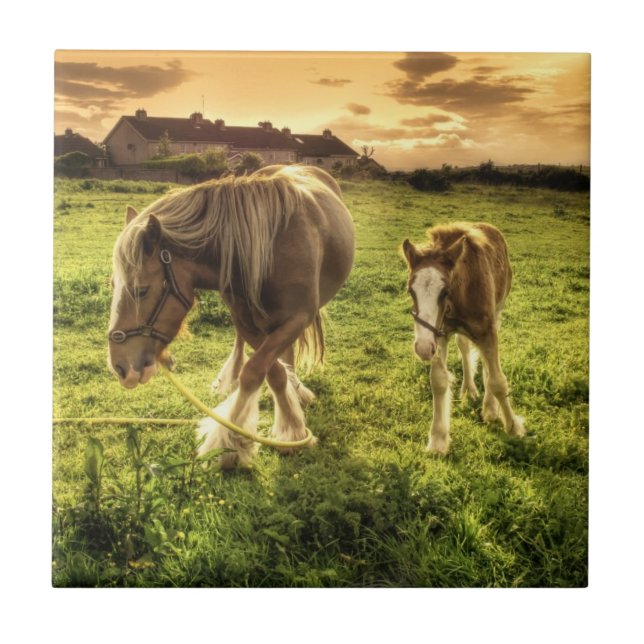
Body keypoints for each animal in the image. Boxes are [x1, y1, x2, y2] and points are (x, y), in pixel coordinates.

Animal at [108, 164, 355, 468]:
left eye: (141, 290)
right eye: (113, 284)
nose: (120, 366)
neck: (271, 246)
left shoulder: (298, 318)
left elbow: (257, 372)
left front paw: (232, 444)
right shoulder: (247, 323)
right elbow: (270, 373)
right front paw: (288, 427)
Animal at [401, 222, 525, 454]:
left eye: (445, 291)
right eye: (410, 291)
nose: (422, 348)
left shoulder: (487, 331)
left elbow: (497, 380)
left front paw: (513, 427)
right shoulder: (439, 333)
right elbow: (439, 380)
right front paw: (438, 439)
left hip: (498, 312)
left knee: (487, 363)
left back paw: (490, 407)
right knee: (464, 346)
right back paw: (469, 390)